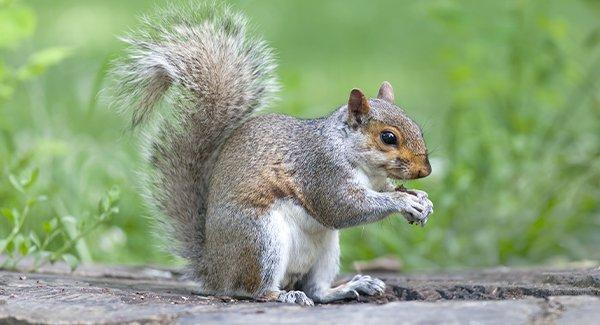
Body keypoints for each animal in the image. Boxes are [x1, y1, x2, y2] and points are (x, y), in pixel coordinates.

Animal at [110, 2, 434, 306]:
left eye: (418, 127)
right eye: (388, 137)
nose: (425, 171)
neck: (358, 159)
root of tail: (215, 272)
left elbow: (384, 191)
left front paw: (421, 200)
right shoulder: (321, 171)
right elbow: (343, 207)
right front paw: (402, 201)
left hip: (326, 248)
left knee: (317, 290)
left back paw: (350, 287)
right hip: (261, 239)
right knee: (254, 290)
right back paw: (283, 295)